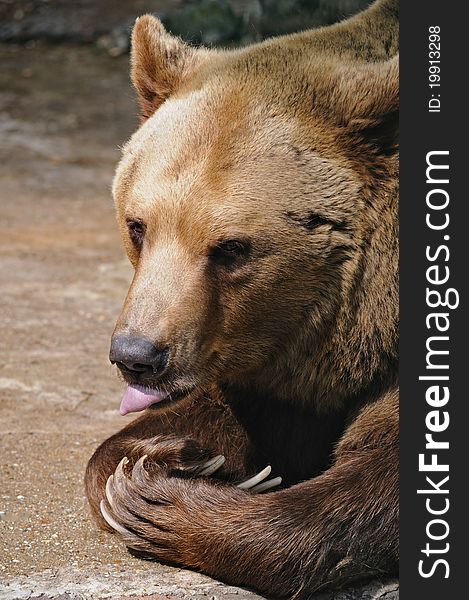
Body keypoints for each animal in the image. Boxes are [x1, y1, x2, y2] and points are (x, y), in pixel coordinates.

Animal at [85, 1, 398, 596]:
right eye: (138, 226)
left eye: (231, 247)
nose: (137, 357)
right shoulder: (281, 355)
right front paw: (166, 457)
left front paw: (165, 501)